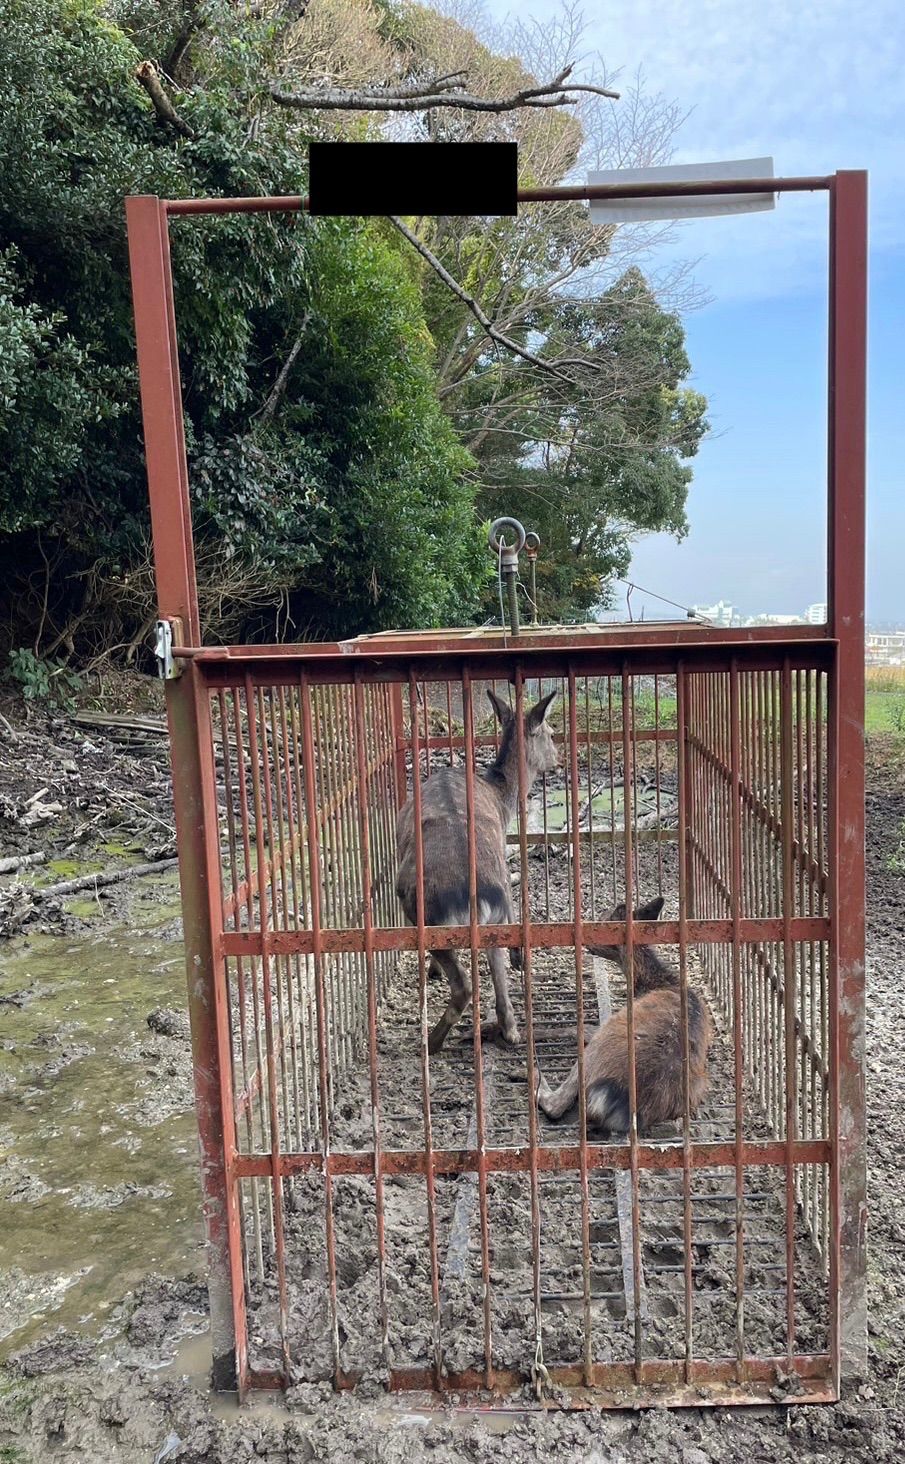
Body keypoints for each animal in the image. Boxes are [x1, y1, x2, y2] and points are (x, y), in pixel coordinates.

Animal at [395, 685, 556, 1054]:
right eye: (552, 733)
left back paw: (432, 1041)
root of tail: (473, 900)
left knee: (465, 985)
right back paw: (509, 1030)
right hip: (494, 915)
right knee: (497, 971)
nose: (559, 758)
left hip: (425, 914)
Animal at [533, 895, 708, 1136]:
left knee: (556, 1105)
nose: (586, 940)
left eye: (602, 918)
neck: (654, 982)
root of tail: (621, 1102)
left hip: (596, 1050)